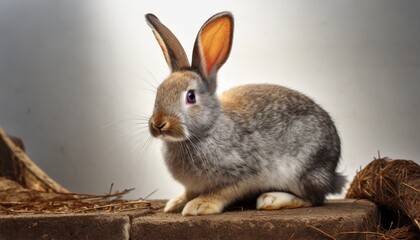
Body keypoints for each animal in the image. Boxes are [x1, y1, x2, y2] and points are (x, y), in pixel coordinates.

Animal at [145, 11, 344, 216]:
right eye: (159, 92)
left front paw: (199, 206)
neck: (206, 130)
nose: (159, 123)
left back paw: (272, 199)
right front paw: (175, 204)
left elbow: (222, 192)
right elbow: (188, 192)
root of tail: (332, 174)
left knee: (314, 199)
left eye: (191, 96)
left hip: (302, 171)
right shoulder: (193, 185)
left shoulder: (243, 173)